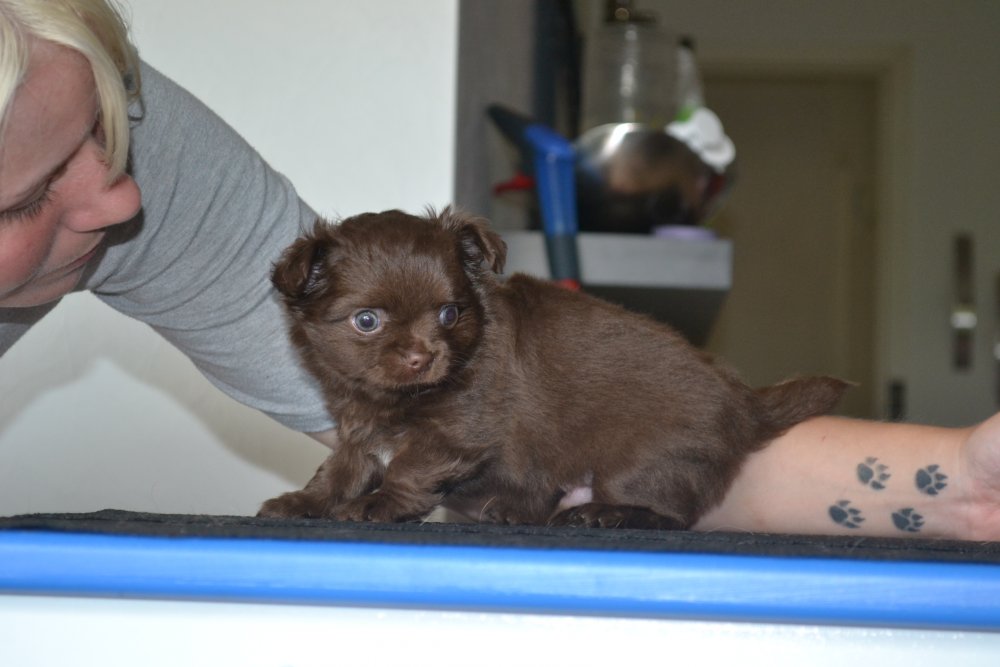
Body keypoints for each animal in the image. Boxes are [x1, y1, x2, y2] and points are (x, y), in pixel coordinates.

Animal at [257, 208, 847, 529]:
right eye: (367, 321)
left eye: (450, 314)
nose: (423, 356)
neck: (391, 399)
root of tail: (744, 401)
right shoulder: (359, 433)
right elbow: (340, 470)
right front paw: (304, 501)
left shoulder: (454, 433)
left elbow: (408, 468)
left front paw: (377, 504)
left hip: (639, 461)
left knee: (671, 513)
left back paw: (604, 514)